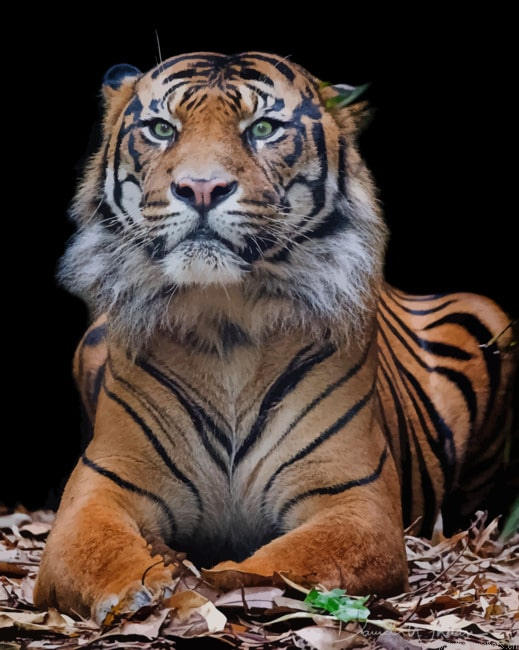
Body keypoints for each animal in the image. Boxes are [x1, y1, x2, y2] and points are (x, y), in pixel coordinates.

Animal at [33, 51, 517, 625]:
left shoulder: (355, 501)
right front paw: (147, 589)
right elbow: (93, 552)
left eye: (262, 129)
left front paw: (202, 588)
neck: (224, 319)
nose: (201, 188)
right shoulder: (101, 486)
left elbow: (276, 564)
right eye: (161, 129)